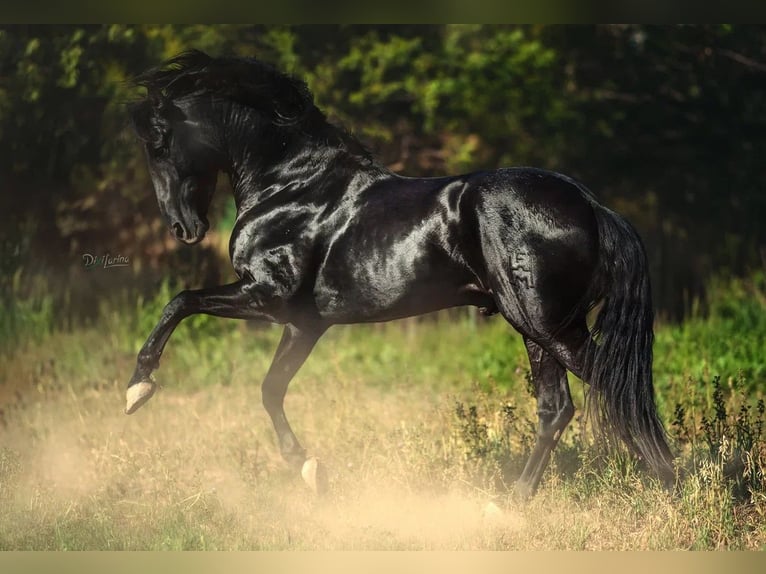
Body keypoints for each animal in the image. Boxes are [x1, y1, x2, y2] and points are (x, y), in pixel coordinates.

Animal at [127, 49, 680, 500]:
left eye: (159, 142)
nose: (184, 228)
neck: (291, 186)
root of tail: (591, 207)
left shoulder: (267, 297)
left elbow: (181, 301)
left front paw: (138, 388)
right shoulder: (304, 323)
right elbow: (271, 389)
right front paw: (308, 470)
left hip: (547, 326)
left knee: (616, 390)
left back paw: (673, 485)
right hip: (536, 328)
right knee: (557, 408)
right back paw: (513, 503)